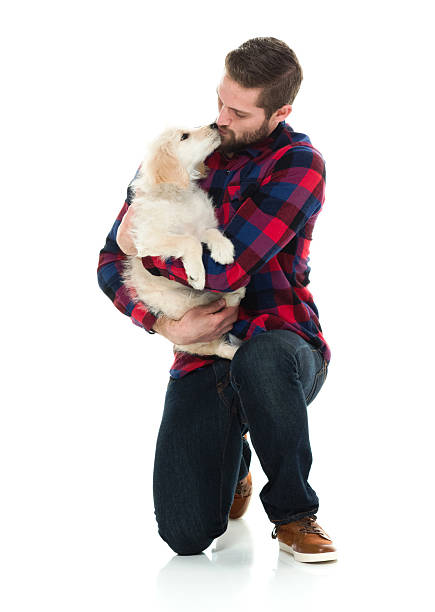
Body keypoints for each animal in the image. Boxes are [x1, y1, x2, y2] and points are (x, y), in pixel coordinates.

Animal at [116, 123, 245, 358]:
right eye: (184, 136)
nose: (214, 124)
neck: (178, 193)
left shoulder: (199, 226)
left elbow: (211, 232)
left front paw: (224, 249)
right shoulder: (149, 239)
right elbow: (189, 242)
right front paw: (197, 274)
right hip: (182, 304)